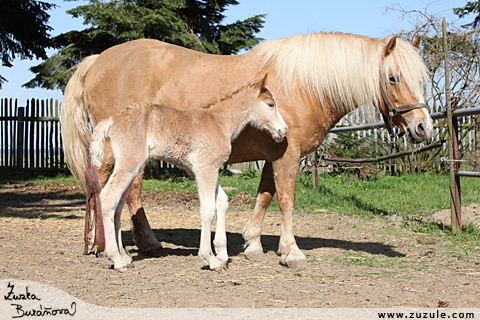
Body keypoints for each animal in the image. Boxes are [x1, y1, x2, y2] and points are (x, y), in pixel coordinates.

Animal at [87, 77, 286, 270]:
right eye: (270, 104)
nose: (283, 131)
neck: (218, 123)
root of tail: (113, 119)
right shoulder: (206, 169)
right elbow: (208, 209)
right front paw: (210, 259)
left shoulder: (201, 169)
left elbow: (222, 201)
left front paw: (222, 256)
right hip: (129, 164)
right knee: (108, 197)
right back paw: (116, 259)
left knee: (118, 204)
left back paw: (124, 257)